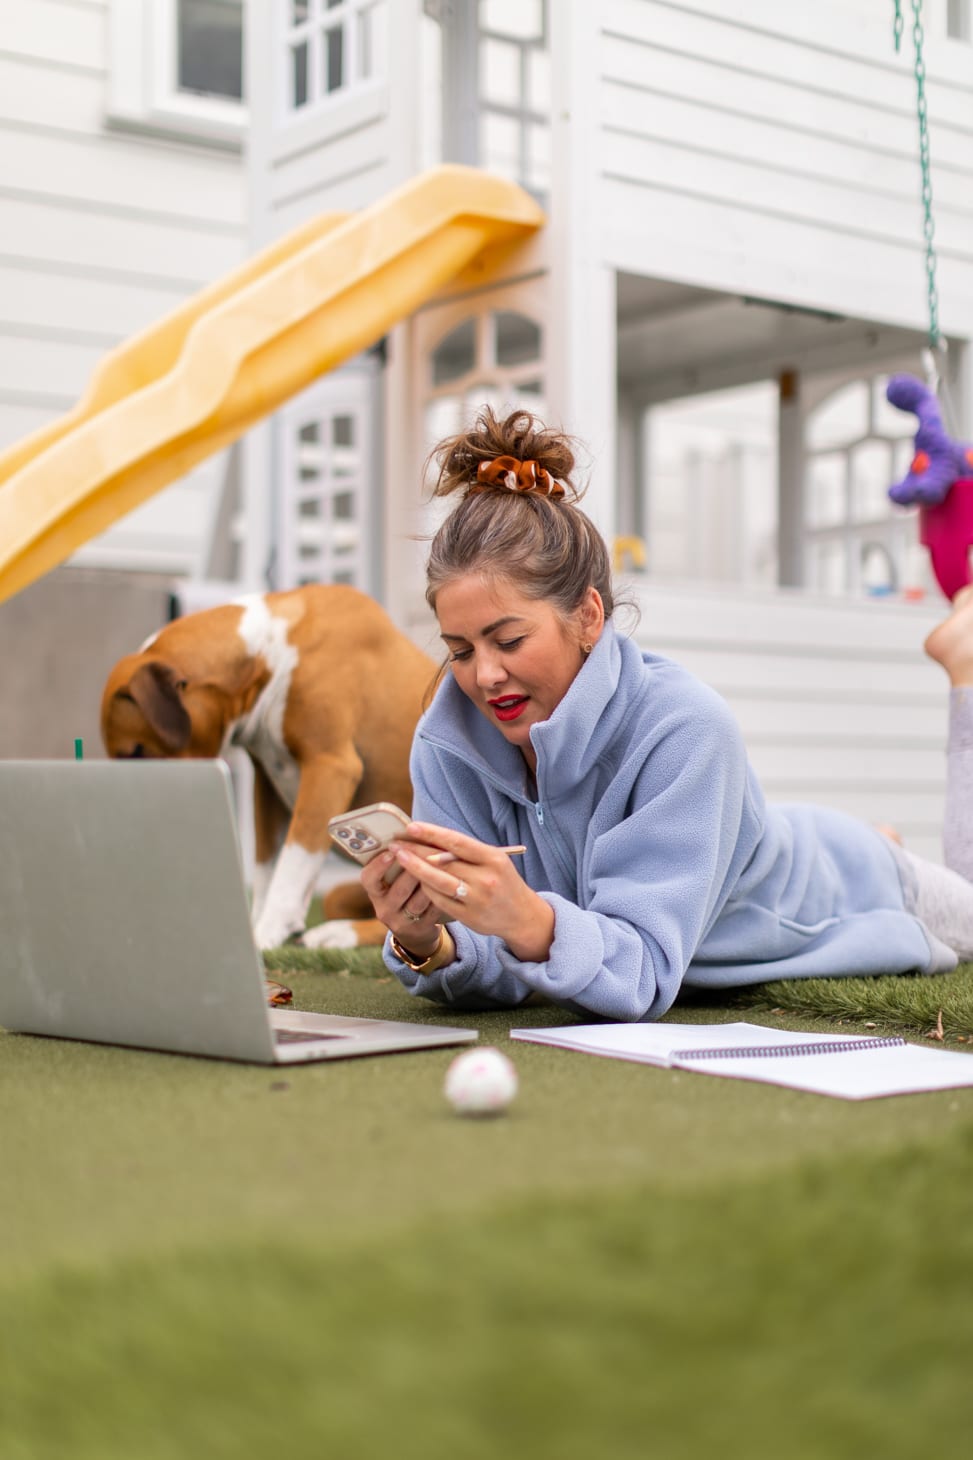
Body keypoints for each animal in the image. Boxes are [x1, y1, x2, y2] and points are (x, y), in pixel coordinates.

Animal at [100, 586, 432, 951]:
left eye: (137, 752)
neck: (270, 655)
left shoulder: (329, 768)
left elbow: (292, 862)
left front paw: (266, 932)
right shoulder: (268, 784)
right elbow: (266, 867)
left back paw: (336, 933)